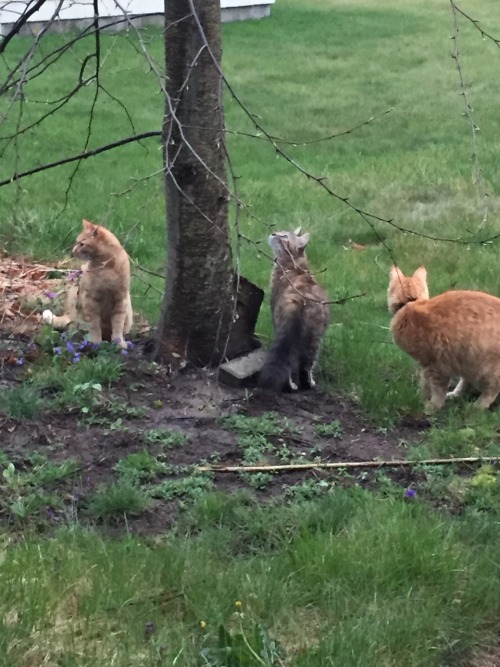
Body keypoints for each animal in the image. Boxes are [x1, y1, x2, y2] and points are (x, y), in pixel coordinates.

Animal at [42, 219, 132, 350]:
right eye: (77, 242)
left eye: (81, 244)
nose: (73, 251)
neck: (107, 268)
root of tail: (69, 314)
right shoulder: (90, 300)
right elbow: (94, 325)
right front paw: (96, 343)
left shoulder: (120, 300)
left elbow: (118, 325)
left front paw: (118, 343)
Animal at [258, 227, 332, 392]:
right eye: (280, 231)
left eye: (284, 236)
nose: (273, 233)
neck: (295, 265)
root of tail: (300, 299)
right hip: (314, 339)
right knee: (305, 365)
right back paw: (307, 384)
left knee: (294, 364)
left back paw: (293, 385)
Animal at [388, 266, 500, 412]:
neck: (411, 305)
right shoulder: (426, 365)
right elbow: (425, 383)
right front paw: (420, 397)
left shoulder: (434, 365)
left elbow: (437, 389)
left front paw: (432, 406)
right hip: (467, 360)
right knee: (466, 381)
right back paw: (455, 394)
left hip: (486, 368)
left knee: (492, 389)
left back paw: (477, 406)